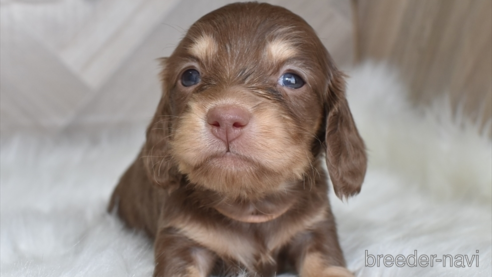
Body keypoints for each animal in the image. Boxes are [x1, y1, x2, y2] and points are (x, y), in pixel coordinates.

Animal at [109, 2, 368, 276]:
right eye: (189, 76)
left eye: (292, 79)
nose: (226, 119)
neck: (251, 204)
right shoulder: (182, 237)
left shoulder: (315, 230)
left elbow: (326, 263)